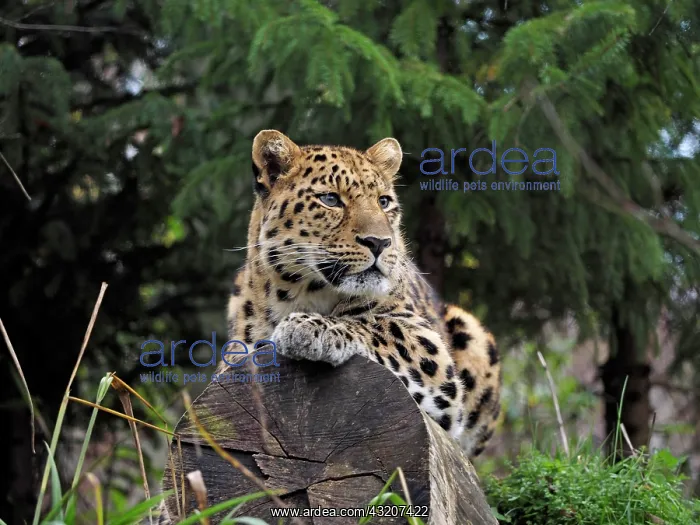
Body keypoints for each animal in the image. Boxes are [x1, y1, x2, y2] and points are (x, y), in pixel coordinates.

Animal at [217, 129, 502, 456]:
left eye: (384, 201)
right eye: (330, 199)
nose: (379, 242)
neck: (299, 294)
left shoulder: (427, 344)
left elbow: (375, 324)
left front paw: (308, 329)